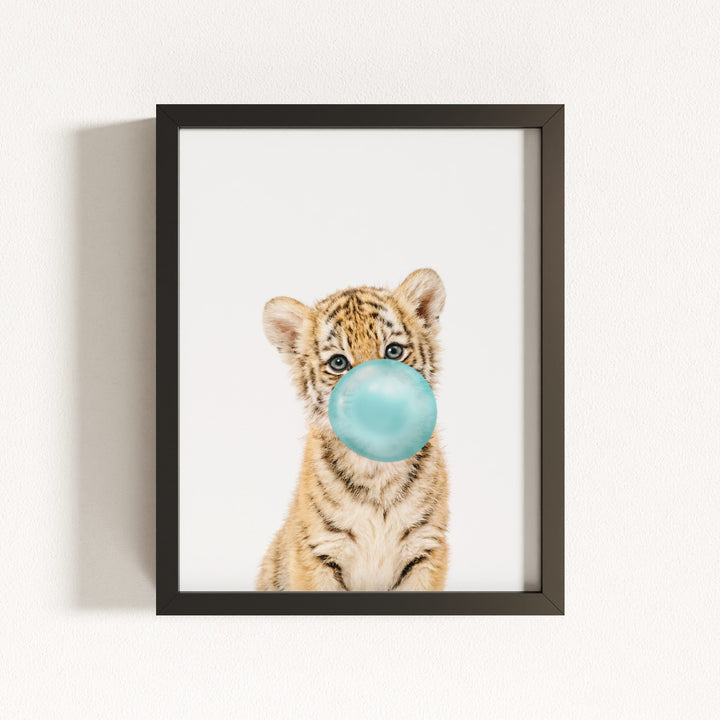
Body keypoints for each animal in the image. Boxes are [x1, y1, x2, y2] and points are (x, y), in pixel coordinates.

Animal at [256, 268, 449, 591]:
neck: (378, 467)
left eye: (393, 351)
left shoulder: (426, 548)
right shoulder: (317, 553)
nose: (377, 400)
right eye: (338, 362)